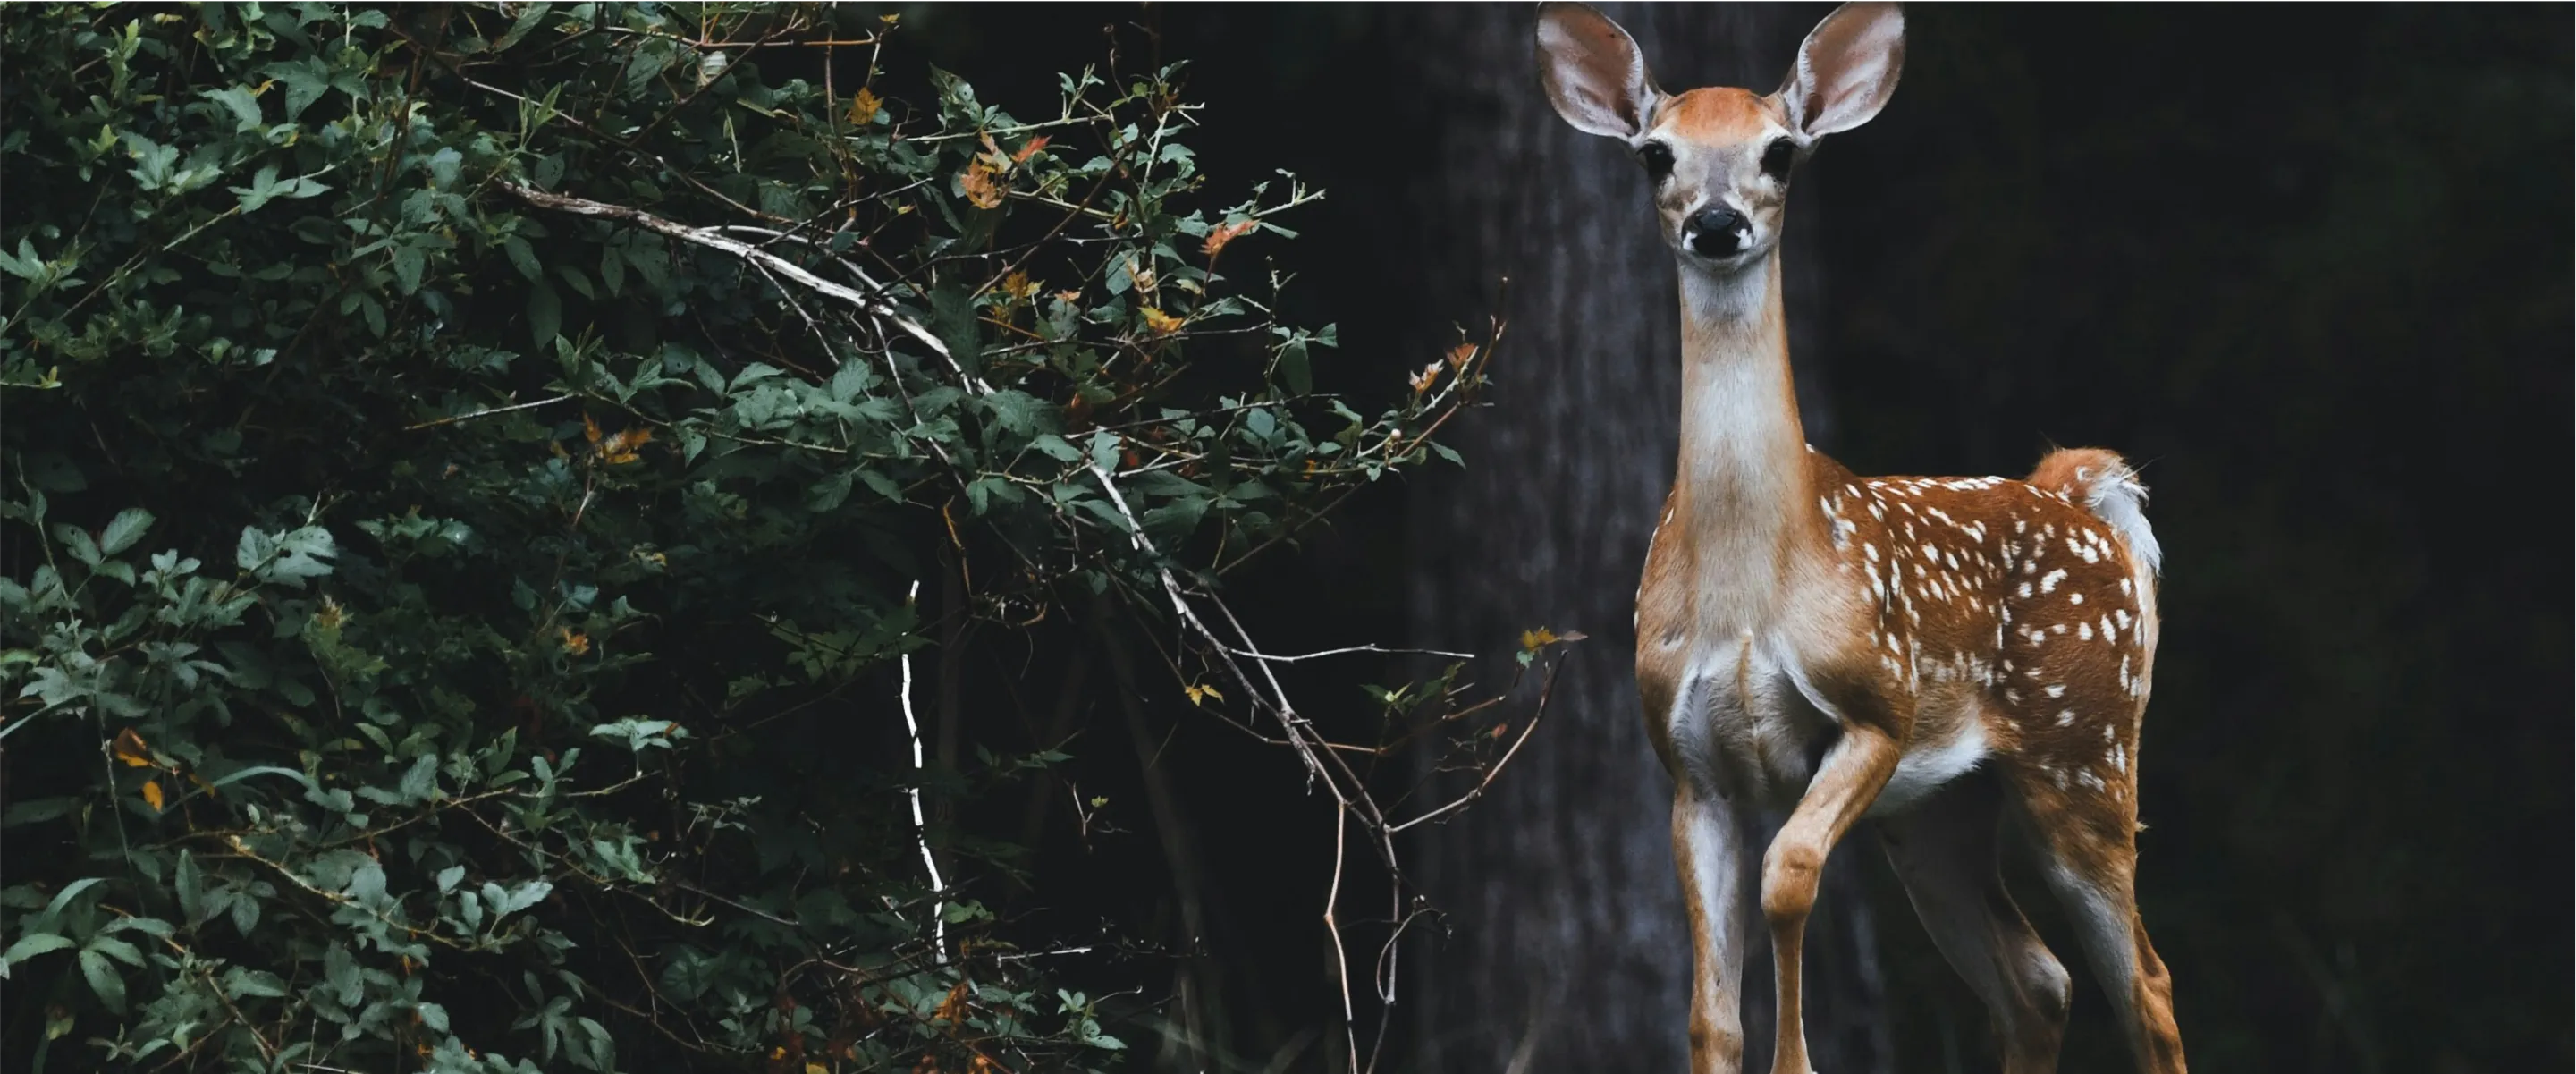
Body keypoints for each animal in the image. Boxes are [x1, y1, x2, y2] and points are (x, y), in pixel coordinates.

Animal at [1532, 2, 2185, 1072]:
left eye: (1781, 152)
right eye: (1655, 155)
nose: (1718, 223)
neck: (1750, 586)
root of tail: (2077, 497)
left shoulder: (1875, 703)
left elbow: (1789, 875)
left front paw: (1797, 1059)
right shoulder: (1688, 765)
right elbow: (1709, 1011)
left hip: (2084, 751)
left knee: (2147, 986)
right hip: (1940, 810)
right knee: (2038, 979)